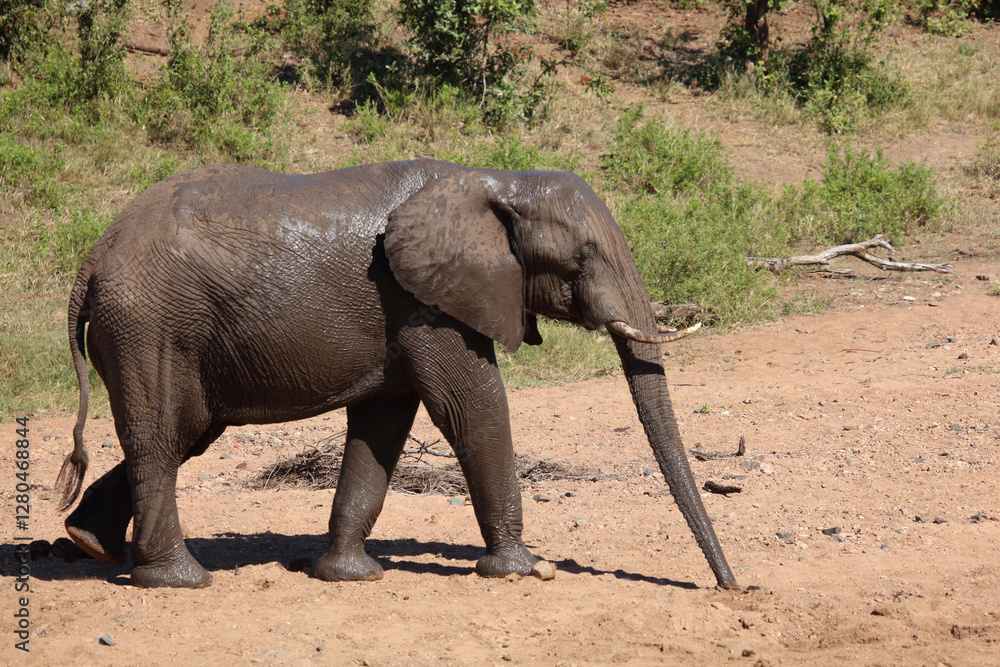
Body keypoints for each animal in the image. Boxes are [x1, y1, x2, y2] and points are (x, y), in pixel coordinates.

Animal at [55, 158, 740, 590]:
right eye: (582, 259)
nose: (732, 588)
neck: (499, 180)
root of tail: (92, 258)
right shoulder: (425, 302)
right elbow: (471, 407)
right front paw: (522, 571)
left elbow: (384, 425)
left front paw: (348, 576)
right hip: (152, 324)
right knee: (162, 435)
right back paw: (179, 580)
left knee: (184, 437)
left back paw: (91, 545)